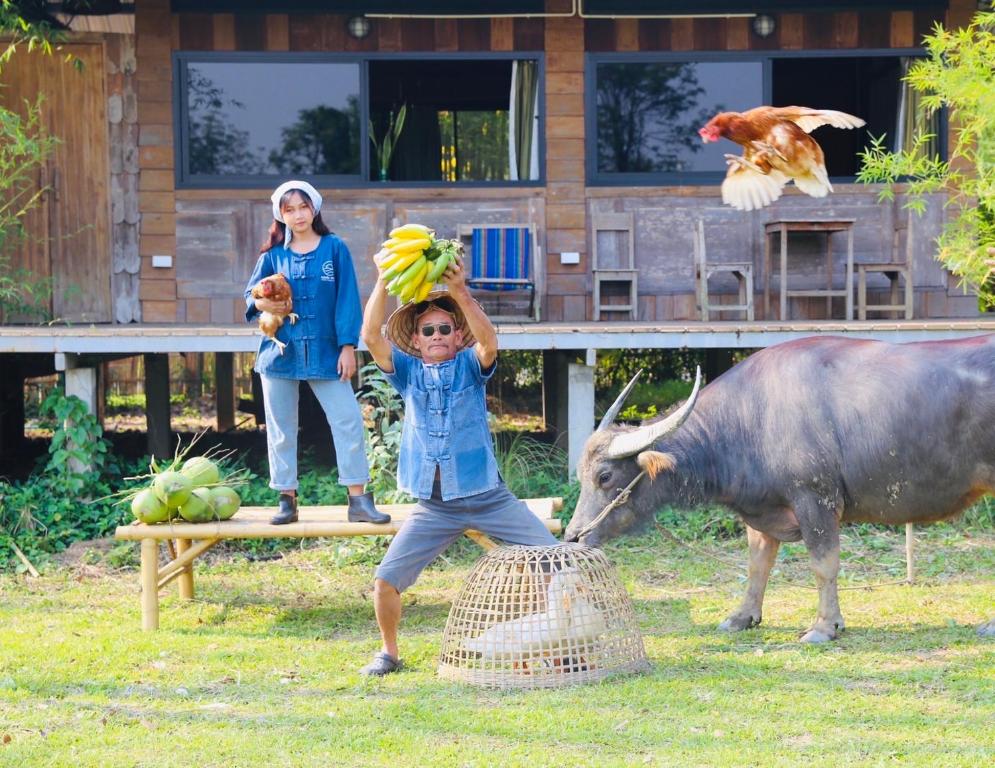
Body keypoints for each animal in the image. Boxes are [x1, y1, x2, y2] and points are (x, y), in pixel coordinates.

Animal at [568, 336, 995, 640]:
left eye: (604, 476)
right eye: (581, 474)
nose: (574, 536)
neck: (749, 419)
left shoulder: (816, 501)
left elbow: (824, 564)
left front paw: (824, 626)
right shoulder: (761, 511)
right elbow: (757, 565)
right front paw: (742, 617)